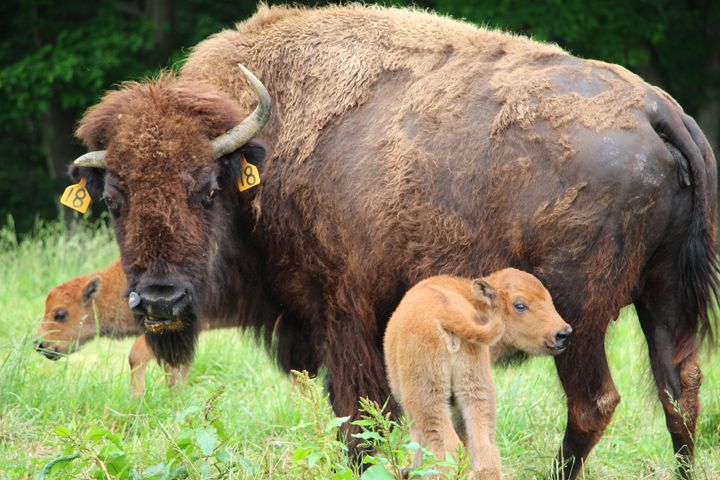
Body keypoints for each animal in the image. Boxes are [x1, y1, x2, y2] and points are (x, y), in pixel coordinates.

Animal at [386, 268, 572, 478]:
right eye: (520, 305)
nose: (563, 334)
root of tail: (448, 311)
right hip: (477, 390)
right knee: (484, 451)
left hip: (428, 398)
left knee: (448, 448)